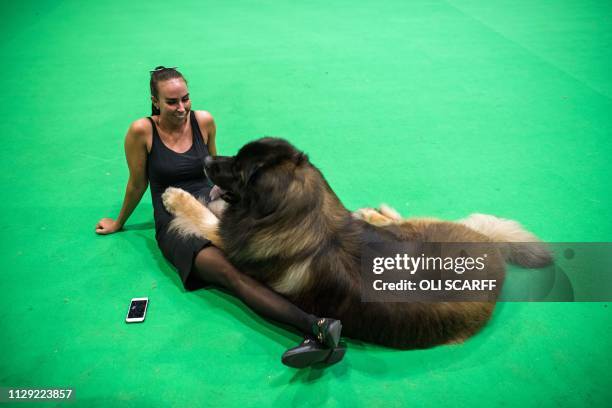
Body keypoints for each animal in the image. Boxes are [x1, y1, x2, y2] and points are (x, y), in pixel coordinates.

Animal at [160, 139, 552, 350]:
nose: (206, 160)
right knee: (401, 221)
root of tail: (494, 252)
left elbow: (205, 219)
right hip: (417, 233)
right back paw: (374, 214)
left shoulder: (232, 244)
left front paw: (176, 198)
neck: (302, 215)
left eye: (238, 168)